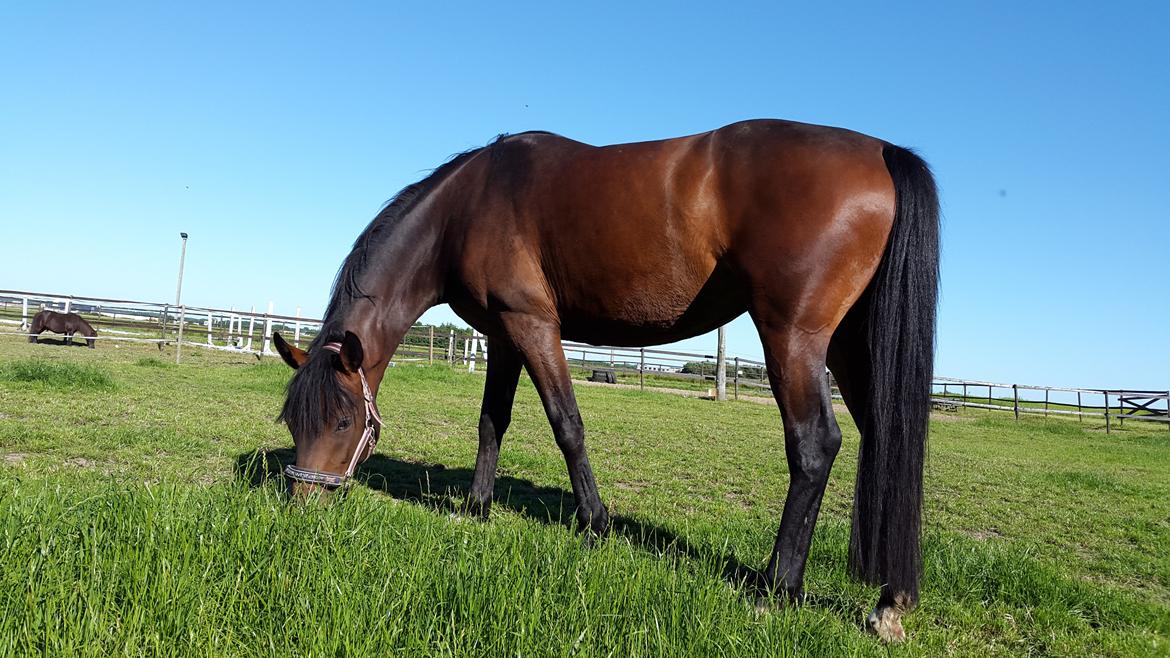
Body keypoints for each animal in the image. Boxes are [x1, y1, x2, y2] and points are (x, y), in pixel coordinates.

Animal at [273, 118, 940, 641]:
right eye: (293, 421)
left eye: (343, 420)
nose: (302, 505)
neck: (467, 204)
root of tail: (883, 152)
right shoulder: (502, 335)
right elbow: (492, 421)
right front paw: (477, 509)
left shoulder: (532, 324)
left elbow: (567, 424)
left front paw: (595, 526)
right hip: (851, 346)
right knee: (887, 442)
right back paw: (889, 602)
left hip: (794, 338)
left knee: (814, 445)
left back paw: (776, 589)